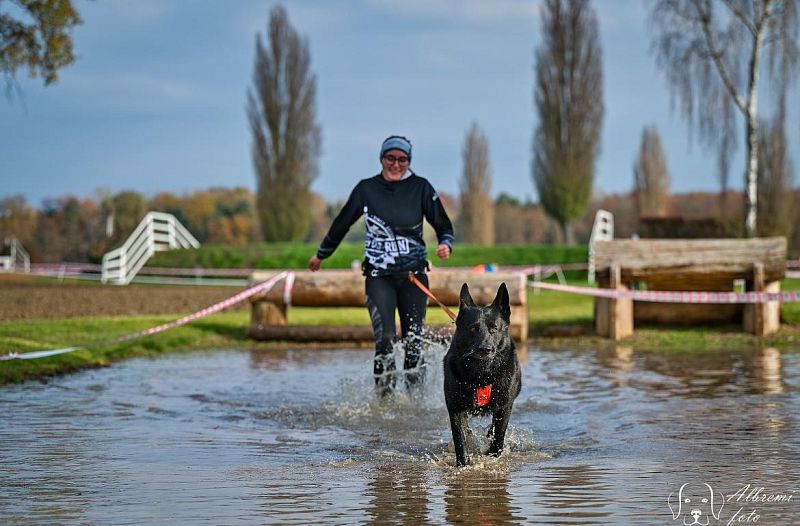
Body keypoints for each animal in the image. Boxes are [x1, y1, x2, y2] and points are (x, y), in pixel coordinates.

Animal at [440, 282, 520, 468]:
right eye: (473, 329)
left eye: (494, 328)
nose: (485, 349)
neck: (482, 375)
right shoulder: (456, 408)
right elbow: (460, 440)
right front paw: (463, 465)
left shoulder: (504, 407)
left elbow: (498, 438)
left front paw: (493, 458)